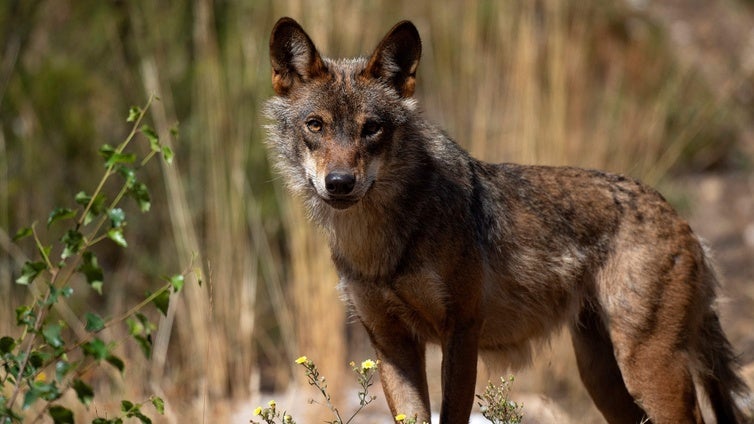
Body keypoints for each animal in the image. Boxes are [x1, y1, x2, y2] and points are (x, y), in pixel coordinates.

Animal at [262, 16, 748, 424]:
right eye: (316, 125)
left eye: (372, 128)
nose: (340, 183)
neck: (381, 246)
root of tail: (681, 219)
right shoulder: (391, 344)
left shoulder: (462, 332)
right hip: (602, 378)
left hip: (646, 370)